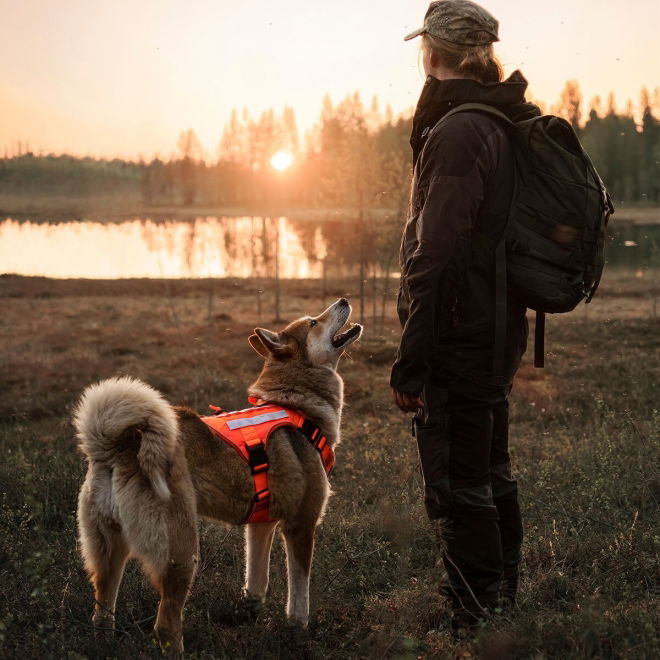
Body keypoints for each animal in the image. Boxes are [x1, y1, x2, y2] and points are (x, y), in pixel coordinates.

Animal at [73, 298, 360, 656]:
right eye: (313, 322)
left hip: (111, 551)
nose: (344, 300)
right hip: (181, 554)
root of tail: (118, 445)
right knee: (165, 625)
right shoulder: (301, 525)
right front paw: (298, 630)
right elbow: (299, 593)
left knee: (101, 614)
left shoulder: (260, 525)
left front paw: (251, 615)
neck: (296, 405)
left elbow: (256, 582)